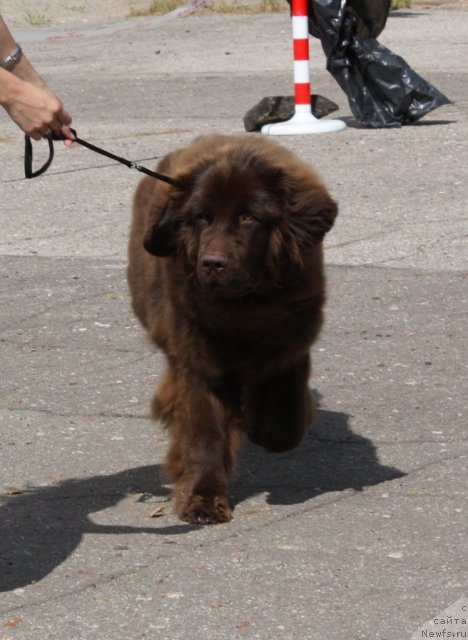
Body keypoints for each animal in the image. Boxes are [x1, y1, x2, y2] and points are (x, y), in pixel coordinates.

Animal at [127, 135, 336, 524]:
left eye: (248, 217)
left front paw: (258, 419)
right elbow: (204, 431)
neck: (246, 308)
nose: (212, 263)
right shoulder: (199, 360)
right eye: (200, 217)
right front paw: (203, 500)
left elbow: (281, 428)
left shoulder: (291, 346)